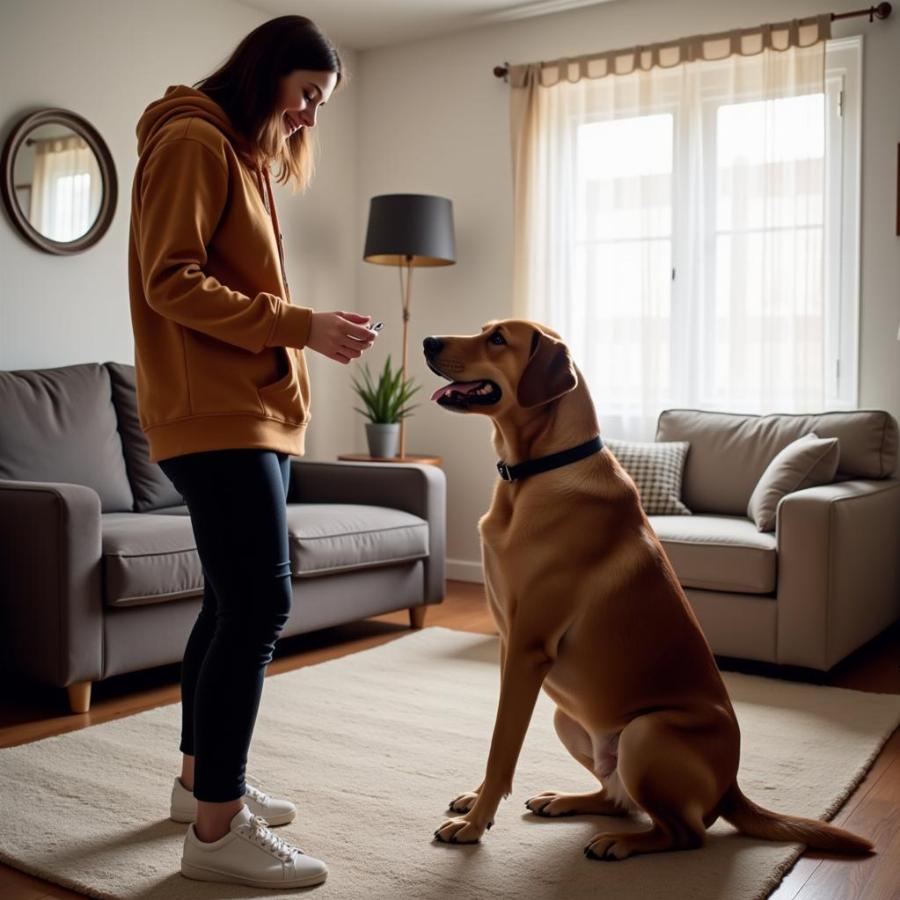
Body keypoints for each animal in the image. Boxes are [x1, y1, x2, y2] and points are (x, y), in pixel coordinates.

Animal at [422, 320, 872, 860]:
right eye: (484, 329)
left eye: (497, 340)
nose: (427, 342)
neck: (537, 473)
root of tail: (732, 787)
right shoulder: (510, 643)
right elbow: (500, 736)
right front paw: (477, 802)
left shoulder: (528, 650)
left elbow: (501, 745)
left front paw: (475, 823)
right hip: (568, 720)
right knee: (619, 799)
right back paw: (566, 801)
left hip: (646, 731)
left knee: (685, 832)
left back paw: (618, 844)